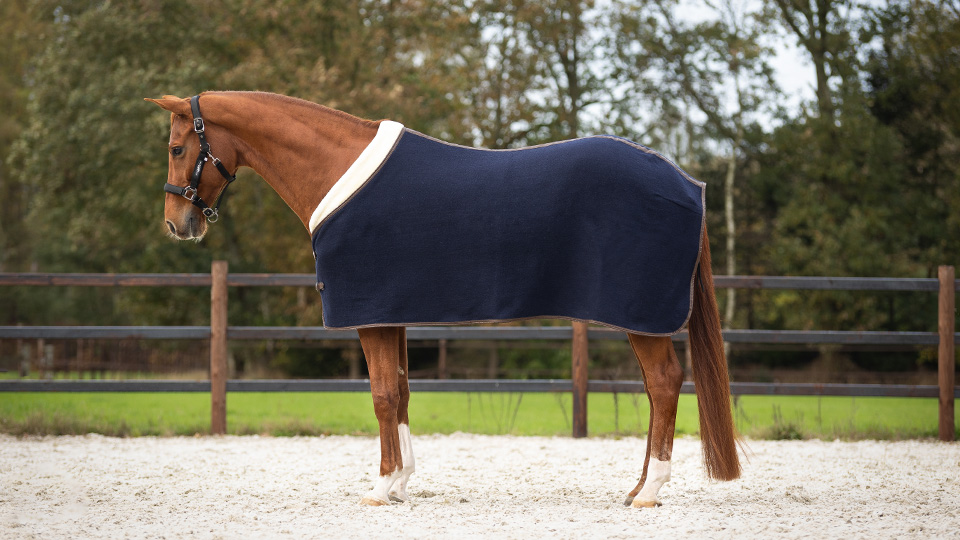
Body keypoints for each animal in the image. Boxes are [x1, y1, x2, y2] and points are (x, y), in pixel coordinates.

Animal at [146, 91, 741, 508]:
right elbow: (402, 393)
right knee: (657, 391)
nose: (176, 225)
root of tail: (689, 183)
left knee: (663, 385)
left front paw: (381, 488)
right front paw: (402, 481)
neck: (338, 168)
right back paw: (637, 487)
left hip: (642, 319)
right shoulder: (391, 314)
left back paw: (649, 492)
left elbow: (382, 395)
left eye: (177, 149)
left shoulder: (371, 316)